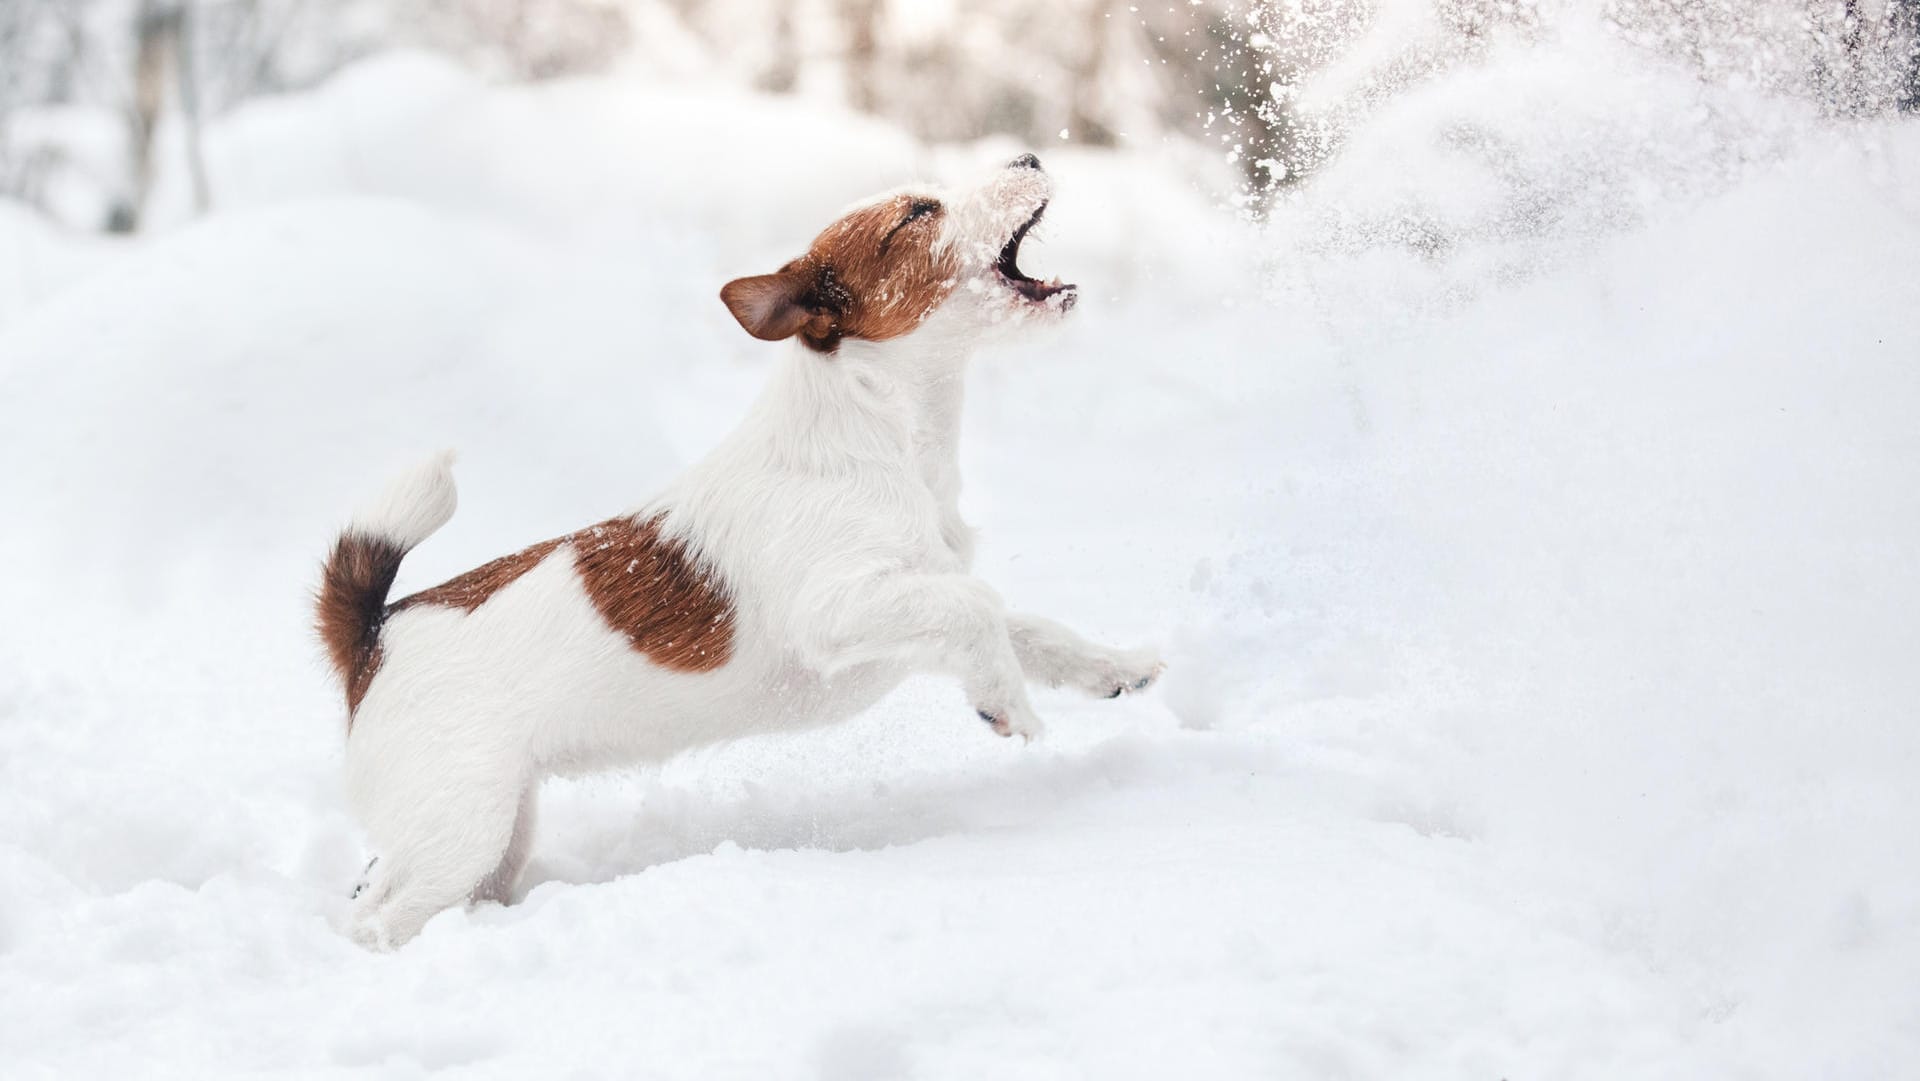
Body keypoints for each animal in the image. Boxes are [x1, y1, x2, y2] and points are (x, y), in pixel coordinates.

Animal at [316, 154, 1159, 948]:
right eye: (918, 213)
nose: (1028, 157)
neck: (875, 429)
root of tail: (374, 635)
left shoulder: (916, 595)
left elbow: (1025, 626)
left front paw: (1115, 668)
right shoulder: (838, 610)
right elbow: (978, 608)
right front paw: (1008, 705)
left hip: (494, 832)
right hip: (463, 827)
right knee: (375, 919)